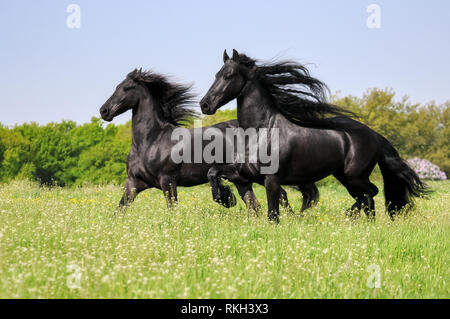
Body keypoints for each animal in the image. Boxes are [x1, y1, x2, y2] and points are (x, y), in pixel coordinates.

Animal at [99, 69, 318, 211]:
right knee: (254, 205)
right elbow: (119, 210)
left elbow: (172, 209)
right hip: (243, 180)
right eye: (117, 86)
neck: (151, 141)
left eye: (127, 87)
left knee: (281, 197)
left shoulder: (167, 181)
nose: (104, 111)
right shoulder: (133, 183)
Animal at [199, 50, 428, 225]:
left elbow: (273, 214)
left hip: (355, 176)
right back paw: (364, 224)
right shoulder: (245, 174)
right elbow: (213, 172)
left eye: (228, 75)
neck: (261, 131)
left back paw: (350, 215)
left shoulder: (272, 180)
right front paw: (224, 198)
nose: (205, 104)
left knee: (371, 193)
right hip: (346, 178)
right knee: (368, 198)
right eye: (216, 74)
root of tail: (374, 135)